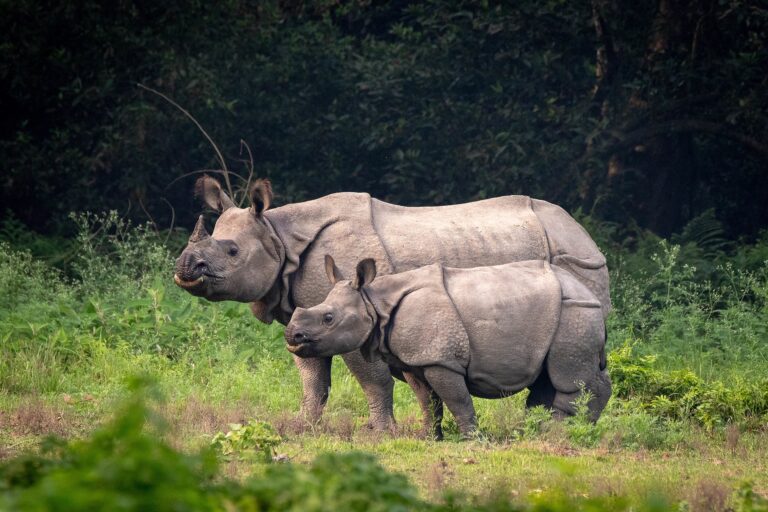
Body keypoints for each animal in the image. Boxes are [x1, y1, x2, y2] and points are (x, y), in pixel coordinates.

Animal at [284, 258, 608, 438]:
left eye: (328, 318)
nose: (292, 336)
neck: (374, 302)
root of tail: (589, 292)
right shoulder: (416, 360)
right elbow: (428, 401)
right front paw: (428, 437)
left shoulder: (440, 359)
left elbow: (456, 399)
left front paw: (471, 439)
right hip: (567, 313)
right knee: (554, 377)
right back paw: (554, 430)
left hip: (575, 312)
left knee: (567, 379)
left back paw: (555, 435)